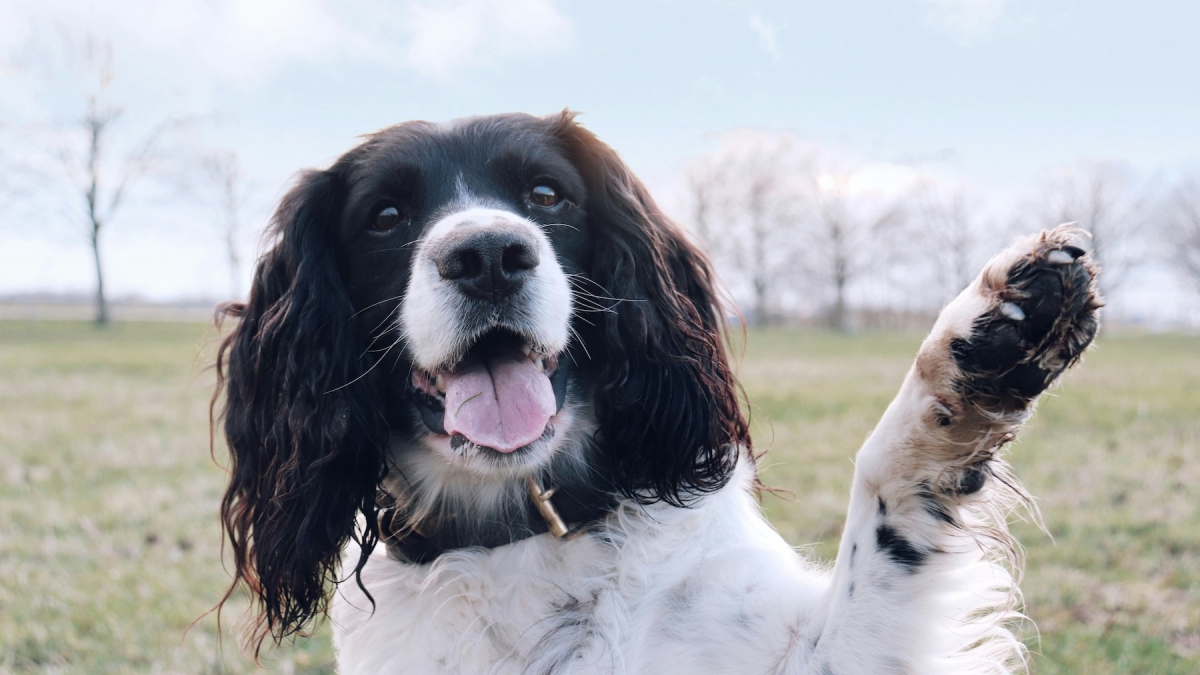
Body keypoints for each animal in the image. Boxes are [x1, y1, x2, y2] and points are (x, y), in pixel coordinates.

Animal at [213, 111, 1099, 672]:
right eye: (387, 215)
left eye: (546, 195)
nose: (488, 255)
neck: (522, 536)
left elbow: (884, 494)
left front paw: (980, 350)